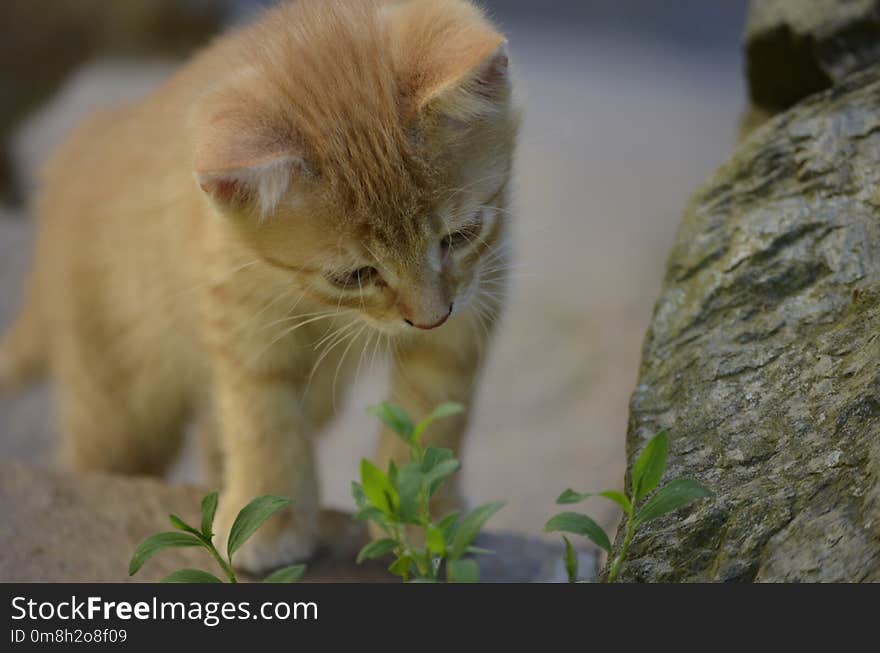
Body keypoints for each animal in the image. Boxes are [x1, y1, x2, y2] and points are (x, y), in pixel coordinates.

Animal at [0, 0, 516, 572]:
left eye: (461, 234)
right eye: (354, 275)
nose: (428, 317)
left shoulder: (478, 289)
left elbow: (436, 410)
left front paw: (423, 512)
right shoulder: (239, 317)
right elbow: (260, 417)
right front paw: (268, 516)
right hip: (119, 403)